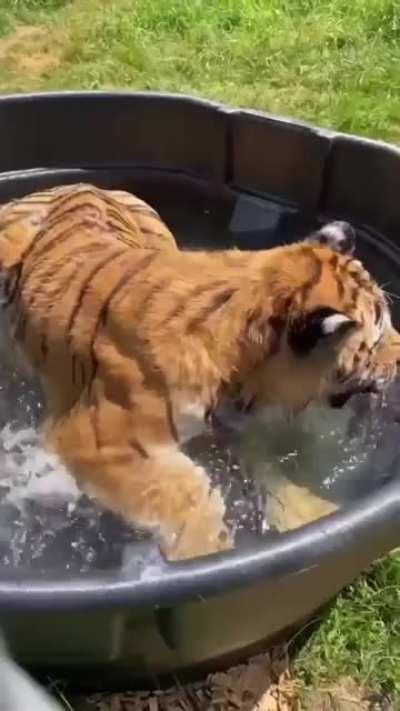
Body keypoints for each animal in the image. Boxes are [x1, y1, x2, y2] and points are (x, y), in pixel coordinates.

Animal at [0, 183, 399, 560]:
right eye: (379, 335)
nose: (399, 360)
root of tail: (81, 184)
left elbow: (266, 467)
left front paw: (309, 511)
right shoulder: (98, 439)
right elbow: (188, 499)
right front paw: (207, 552)